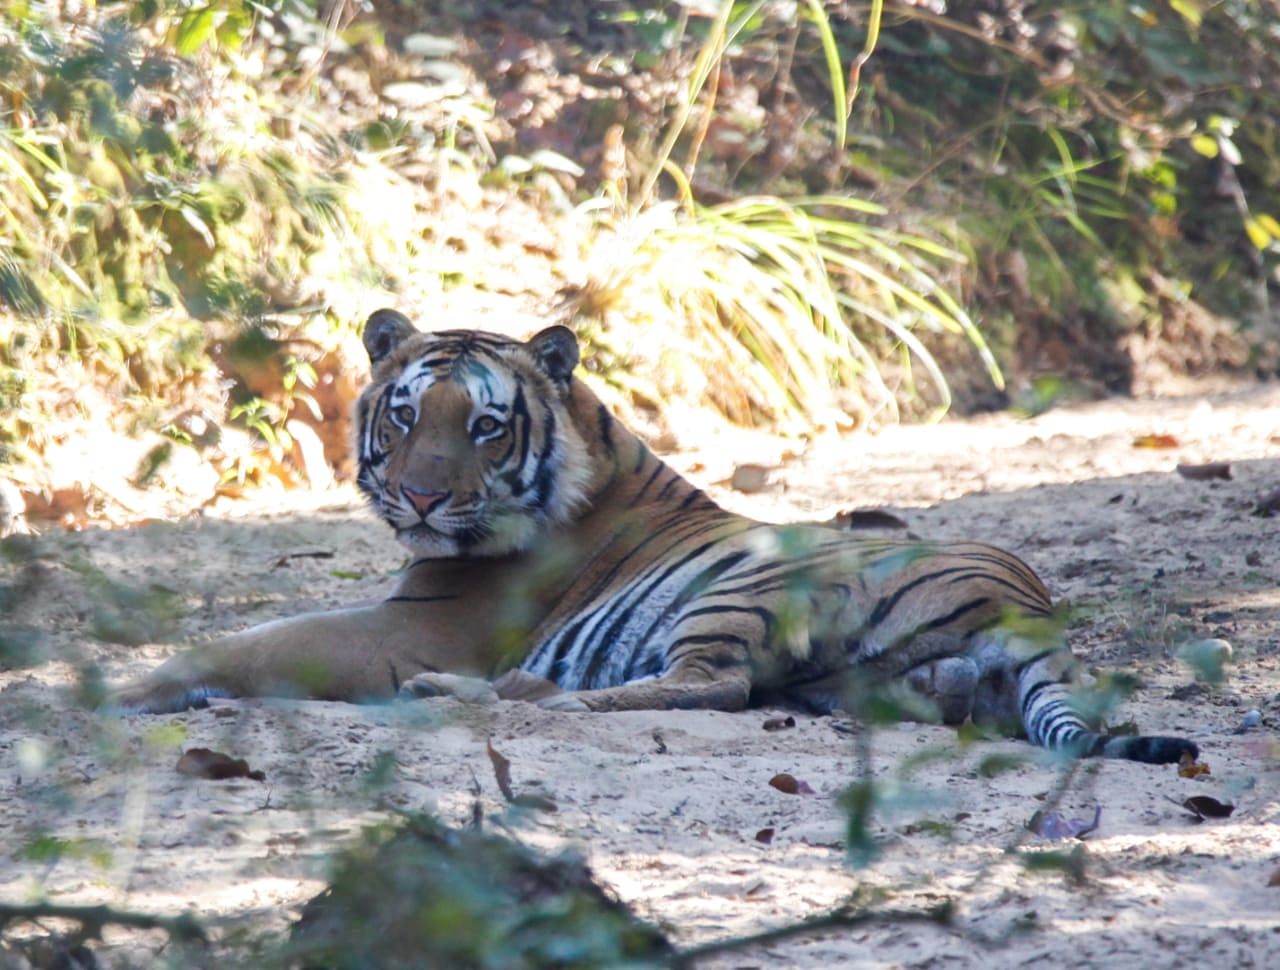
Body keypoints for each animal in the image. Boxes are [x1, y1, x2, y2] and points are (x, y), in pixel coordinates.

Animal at [110, 310, 1198, 767]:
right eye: (407, 415)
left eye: (484, 426)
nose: (418, 499)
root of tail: (1028, 600)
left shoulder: (416, 626)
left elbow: (249, 642)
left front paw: (123, 690)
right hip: (876, 679)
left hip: (737, 591)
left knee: (707, 688)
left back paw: (472, 695)